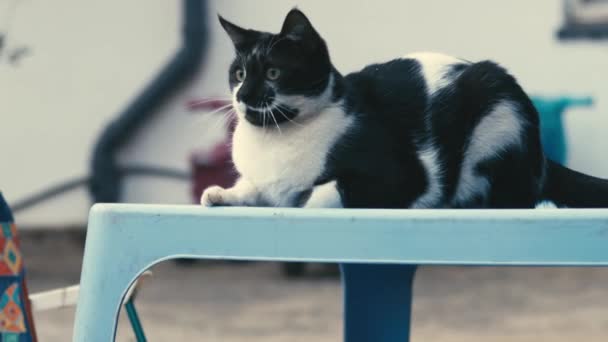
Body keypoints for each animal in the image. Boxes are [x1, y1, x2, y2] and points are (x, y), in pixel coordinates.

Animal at [202, 8, 608, 210]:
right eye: (239, 73)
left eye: (273, 72)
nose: (244, 95)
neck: (275, 139)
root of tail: (542, 155)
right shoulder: (261, 181)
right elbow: (252, 188)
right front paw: (220, 193)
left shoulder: (401, 176)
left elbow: (324, 191)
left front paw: (301, 200)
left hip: (498, 113)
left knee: (512, 197)